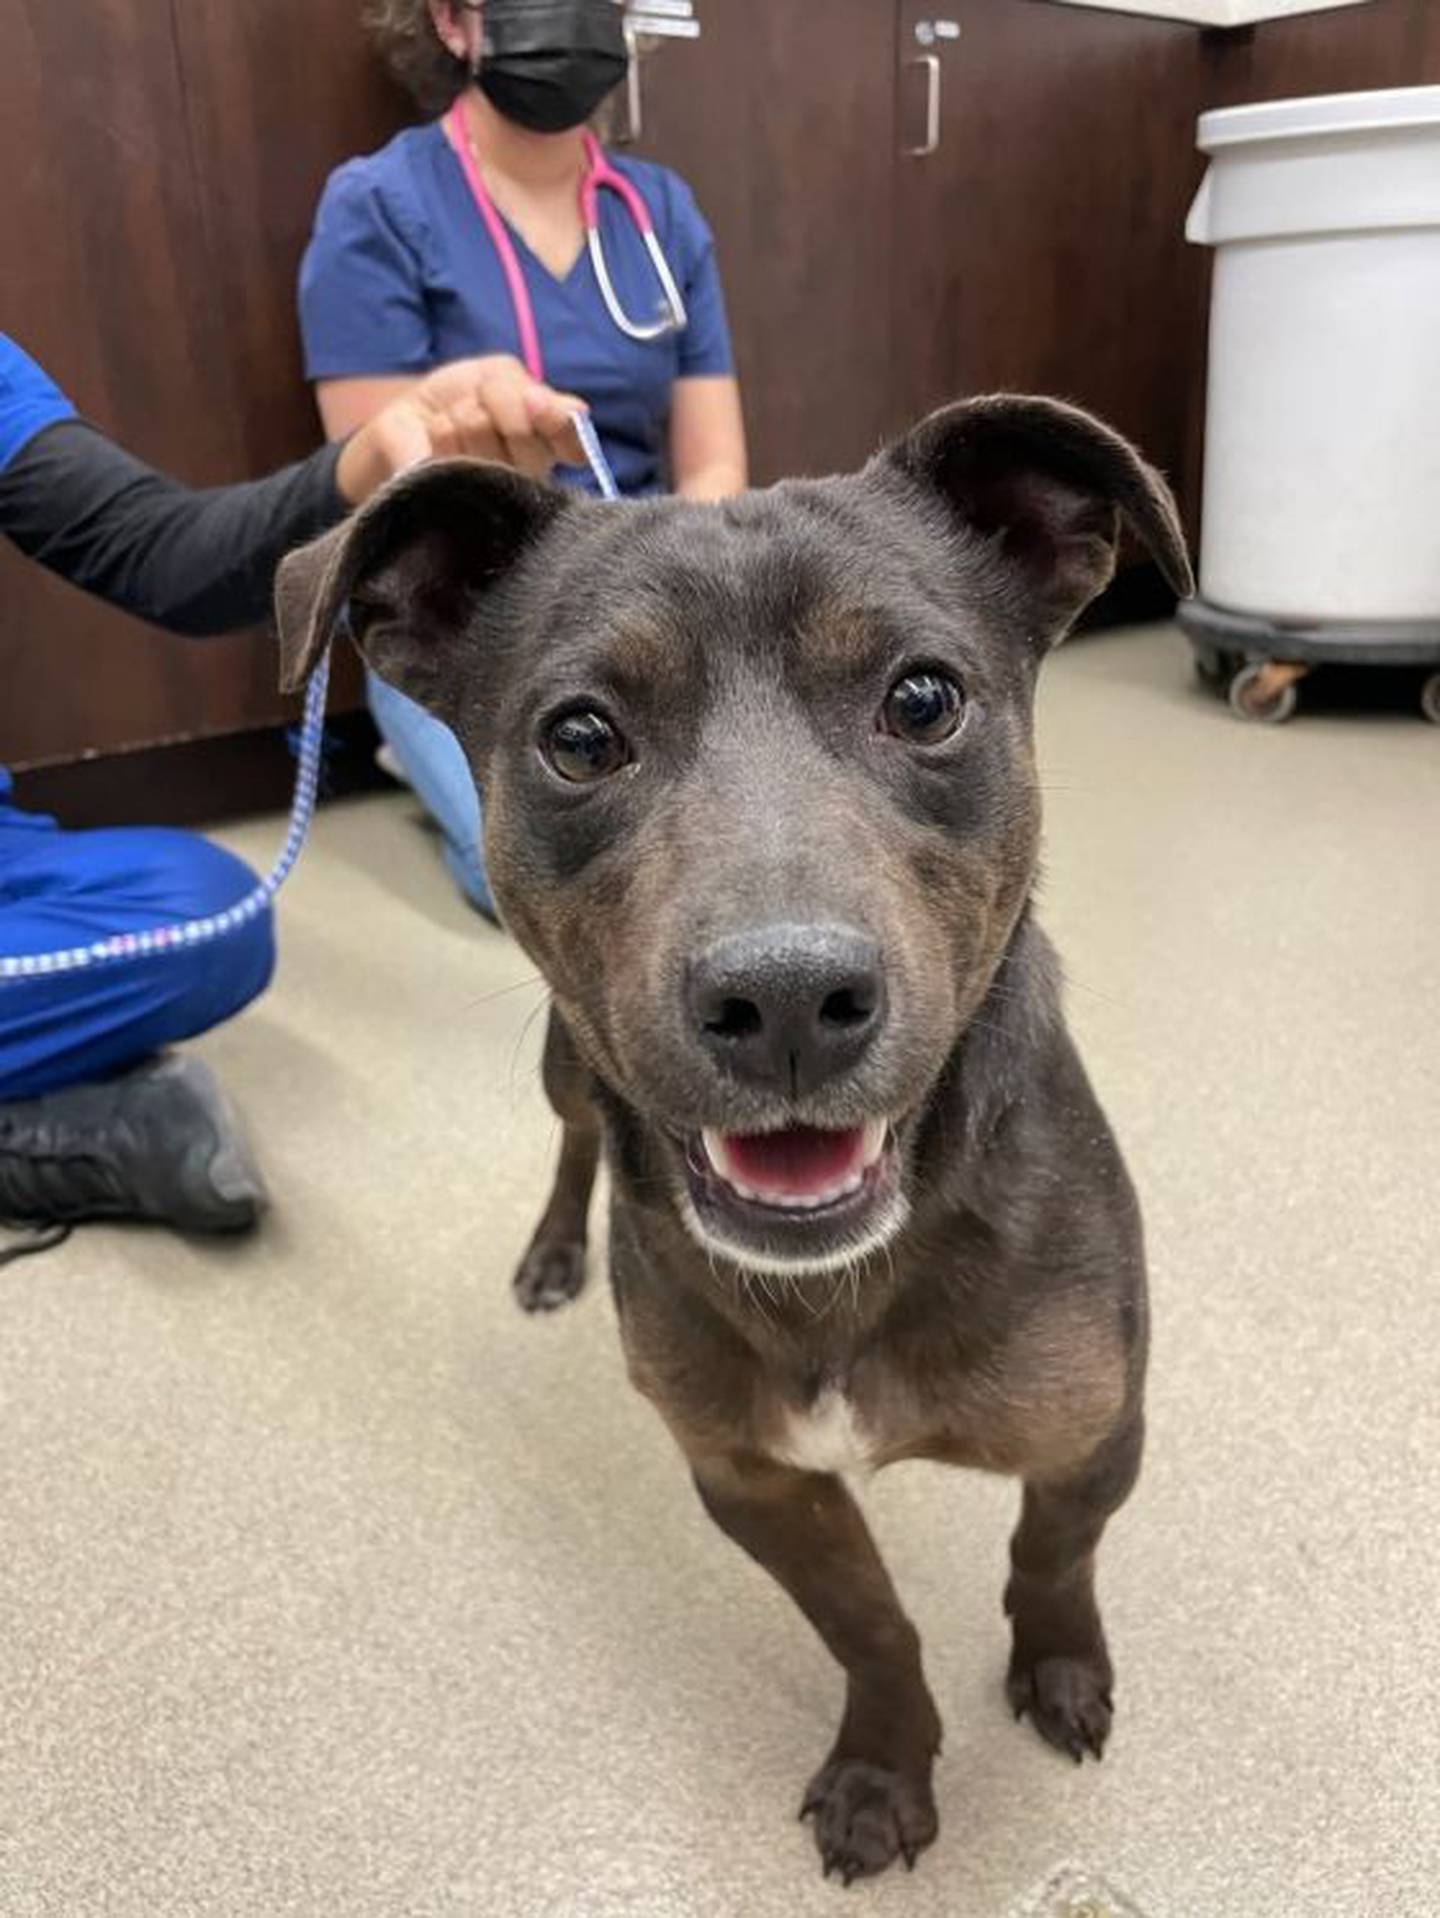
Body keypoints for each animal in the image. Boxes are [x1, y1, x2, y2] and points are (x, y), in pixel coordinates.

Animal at [272, 393, 1196, 1887]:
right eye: (581, 736)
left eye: (925, 698)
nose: (787, 1002)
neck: (852, 1268)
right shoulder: (753, 1480)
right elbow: (871, 1624)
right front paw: (885, 1764)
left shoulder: (1093, 1430)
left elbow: (1053, 1558)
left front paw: (1059, 1666)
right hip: (565, 1064)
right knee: (575, 1146)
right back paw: (554, 1250)